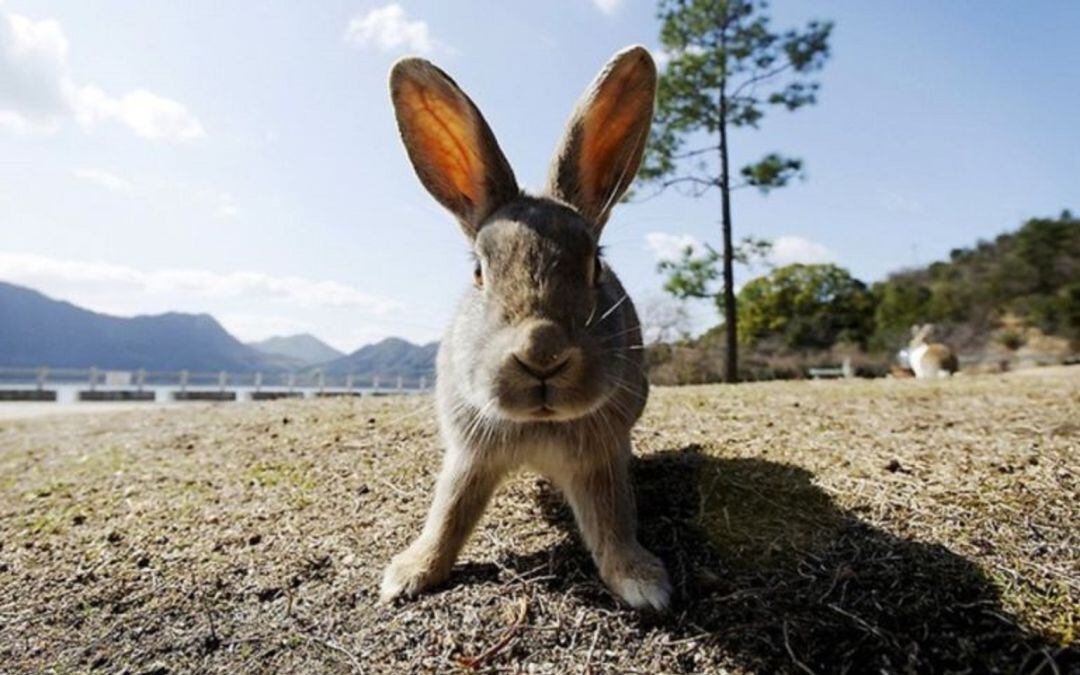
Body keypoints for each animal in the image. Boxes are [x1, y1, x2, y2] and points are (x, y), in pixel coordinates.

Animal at [378, 44, 665, 609]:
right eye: (478, 271)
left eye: (595, 265)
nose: (543, 351)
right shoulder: (470, 455)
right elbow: (449, 514)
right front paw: (409, 575)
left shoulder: (599, 459)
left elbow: (613, 520)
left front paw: (642, 582)